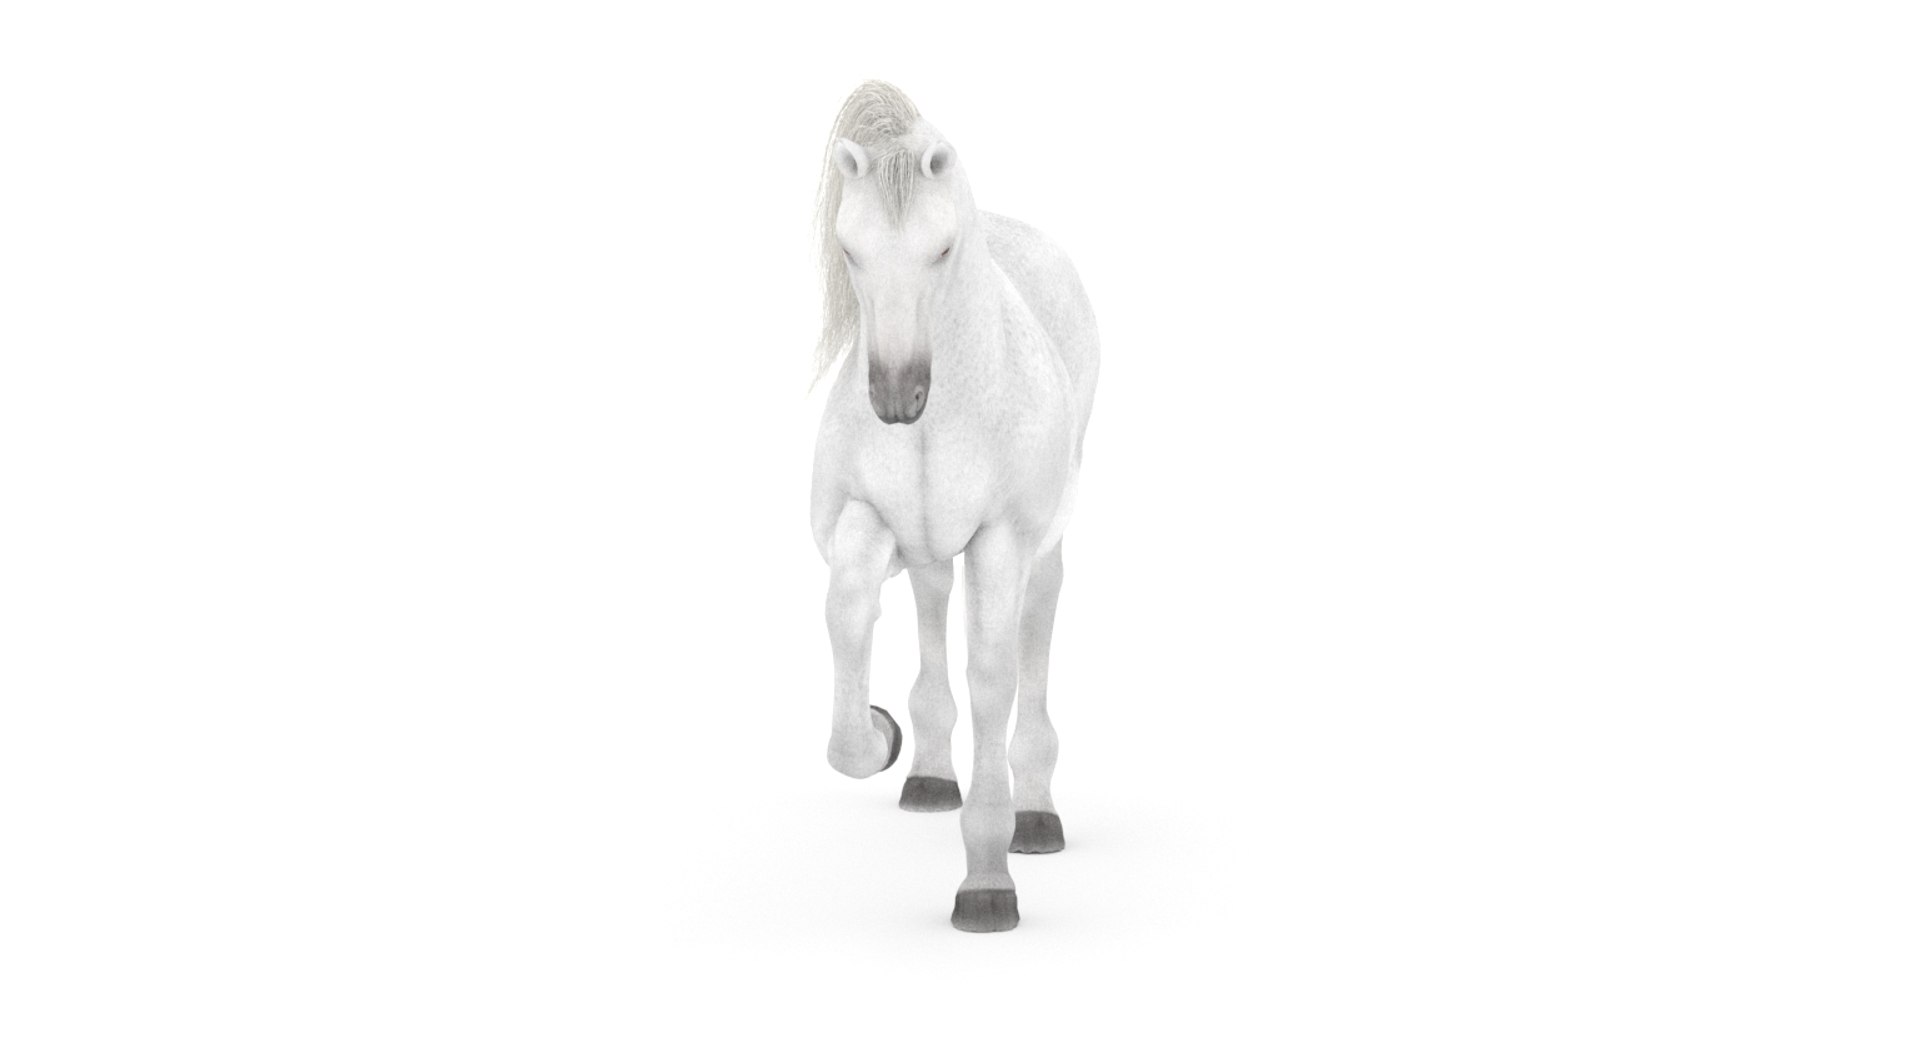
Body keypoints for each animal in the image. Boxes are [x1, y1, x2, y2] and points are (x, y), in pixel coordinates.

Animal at [807, 82, 1099, 933]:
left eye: (940, 251)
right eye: (850, 251)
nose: (895, 401)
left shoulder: (1000, 542)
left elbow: (993, 679)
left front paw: (987, 880)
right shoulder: (864, 522)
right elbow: (848, 619)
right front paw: (879, 734)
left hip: (1042, 544)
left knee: (1035, 636)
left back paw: (1036, 814)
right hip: (931, 547)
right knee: (933, 606)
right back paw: (931, 775)